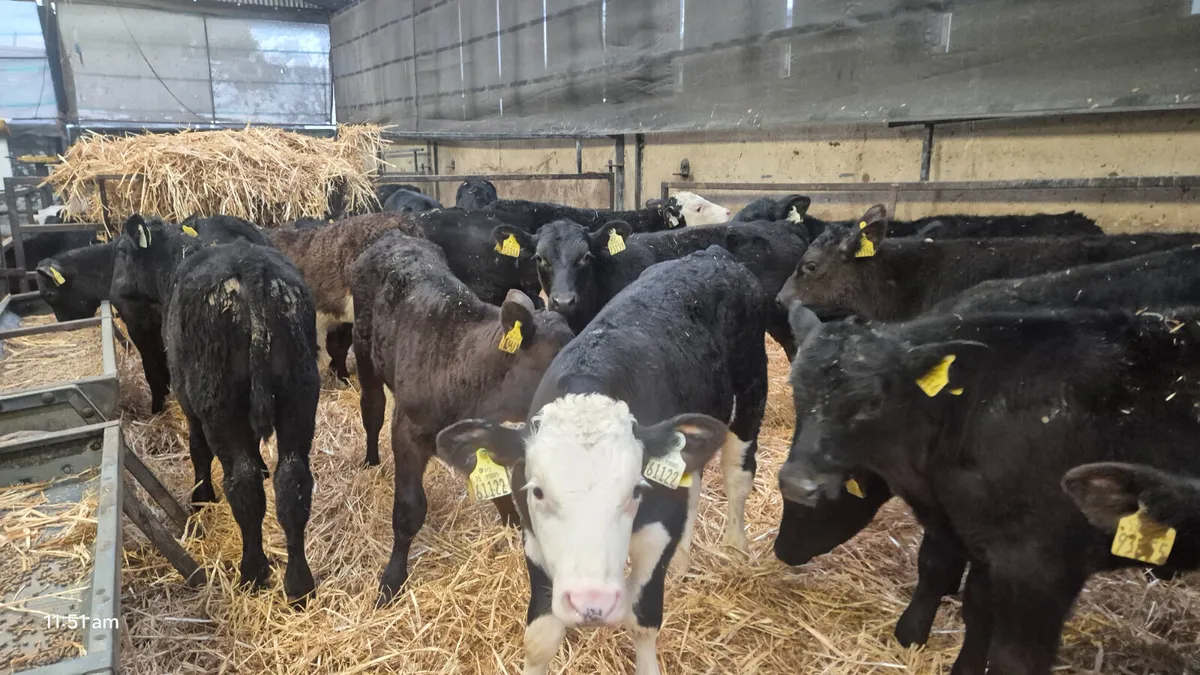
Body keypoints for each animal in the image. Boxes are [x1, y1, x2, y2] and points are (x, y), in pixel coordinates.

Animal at [114, 217, 320, 605]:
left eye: (119, 251)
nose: (114, 291)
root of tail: (252, 271)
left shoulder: (189, 401)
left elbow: (198, 450)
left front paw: (201, 498)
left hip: (217, 399)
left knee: (243, 483)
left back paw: (253, 573)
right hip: (298, 393)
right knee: (293, 481)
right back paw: (299, 584)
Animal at [348, 232, 574, 603]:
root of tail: (393, 236)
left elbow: (493, 481)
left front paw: (512, 526)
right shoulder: (407, 431)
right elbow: (408, 510)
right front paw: (392, 579)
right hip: (363, 345)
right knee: (372, 405)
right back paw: (370, 458)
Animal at [435, 247, 768, 675]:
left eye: (635, 492)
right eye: (538, 492)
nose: (591, 602)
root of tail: (711, 254)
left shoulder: (657, 528)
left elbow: (641, 620)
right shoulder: (534, 539)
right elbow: (541, 637)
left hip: (751, 395)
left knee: (736, 475)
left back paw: (736, 549)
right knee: (692, 482)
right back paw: (682, 559)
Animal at [778, 307, 1200, 674]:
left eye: (872, 402)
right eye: (797, 389)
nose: (796, 483)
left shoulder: (1039, 566)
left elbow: (1014, 659)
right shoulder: (983, 543)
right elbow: (976, 612)